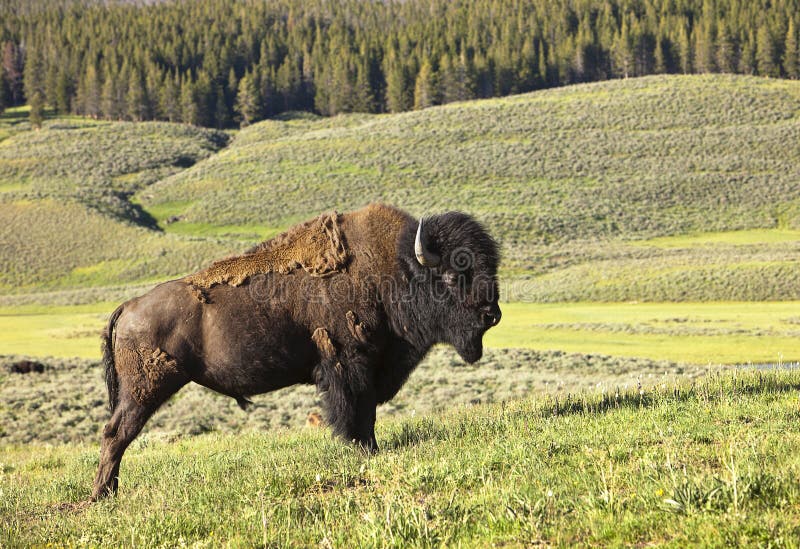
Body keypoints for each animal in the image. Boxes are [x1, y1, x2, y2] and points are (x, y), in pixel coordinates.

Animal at [92, 203, 501, 499]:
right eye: (452, 274)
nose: (492, 314)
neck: (392, 271)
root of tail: (128, 306)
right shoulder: (349, 366)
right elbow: (357, 414)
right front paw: (366, 451)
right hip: (146, 388)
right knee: (116, 433)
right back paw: (103, 495)